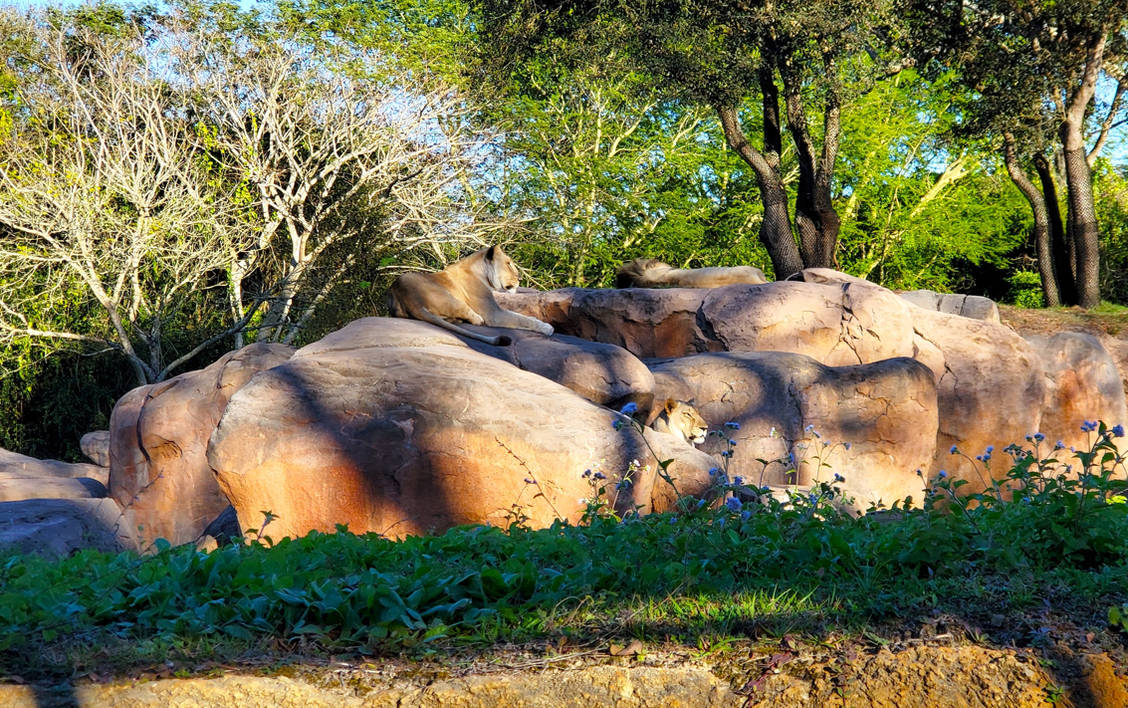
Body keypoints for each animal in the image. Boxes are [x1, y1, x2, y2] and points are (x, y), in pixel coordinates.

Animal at [386, 245, 554, 346]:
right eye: (508, 263)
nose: (520, 279)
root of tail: (410, 300)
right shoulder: (493, 314)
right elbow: (521, 319)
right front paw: (547, 327)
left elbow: (520, 315)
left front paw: (537, 320)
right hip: (451, 298)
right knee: (472, 317)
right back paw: (475, 319)